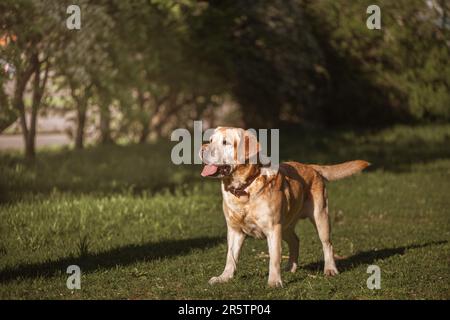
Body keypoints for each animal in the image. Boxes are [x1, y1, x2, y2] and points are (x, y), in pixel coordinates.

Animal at [200, 127, 370, 288]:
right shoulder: (235, 230)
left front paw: (274, 281)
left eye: (225, 142)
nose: (202, 149)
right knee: (295, 240)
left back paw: (330, 269)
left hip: (320, 217)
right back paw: (290, 268)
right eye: (210, 140)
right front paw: (224, 277)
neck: (244, 189)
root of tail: (310, 166)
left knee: (327, 244)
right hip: (286, 224)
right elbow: (230, 257)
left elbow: (274, 257)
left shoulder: (273, 228)